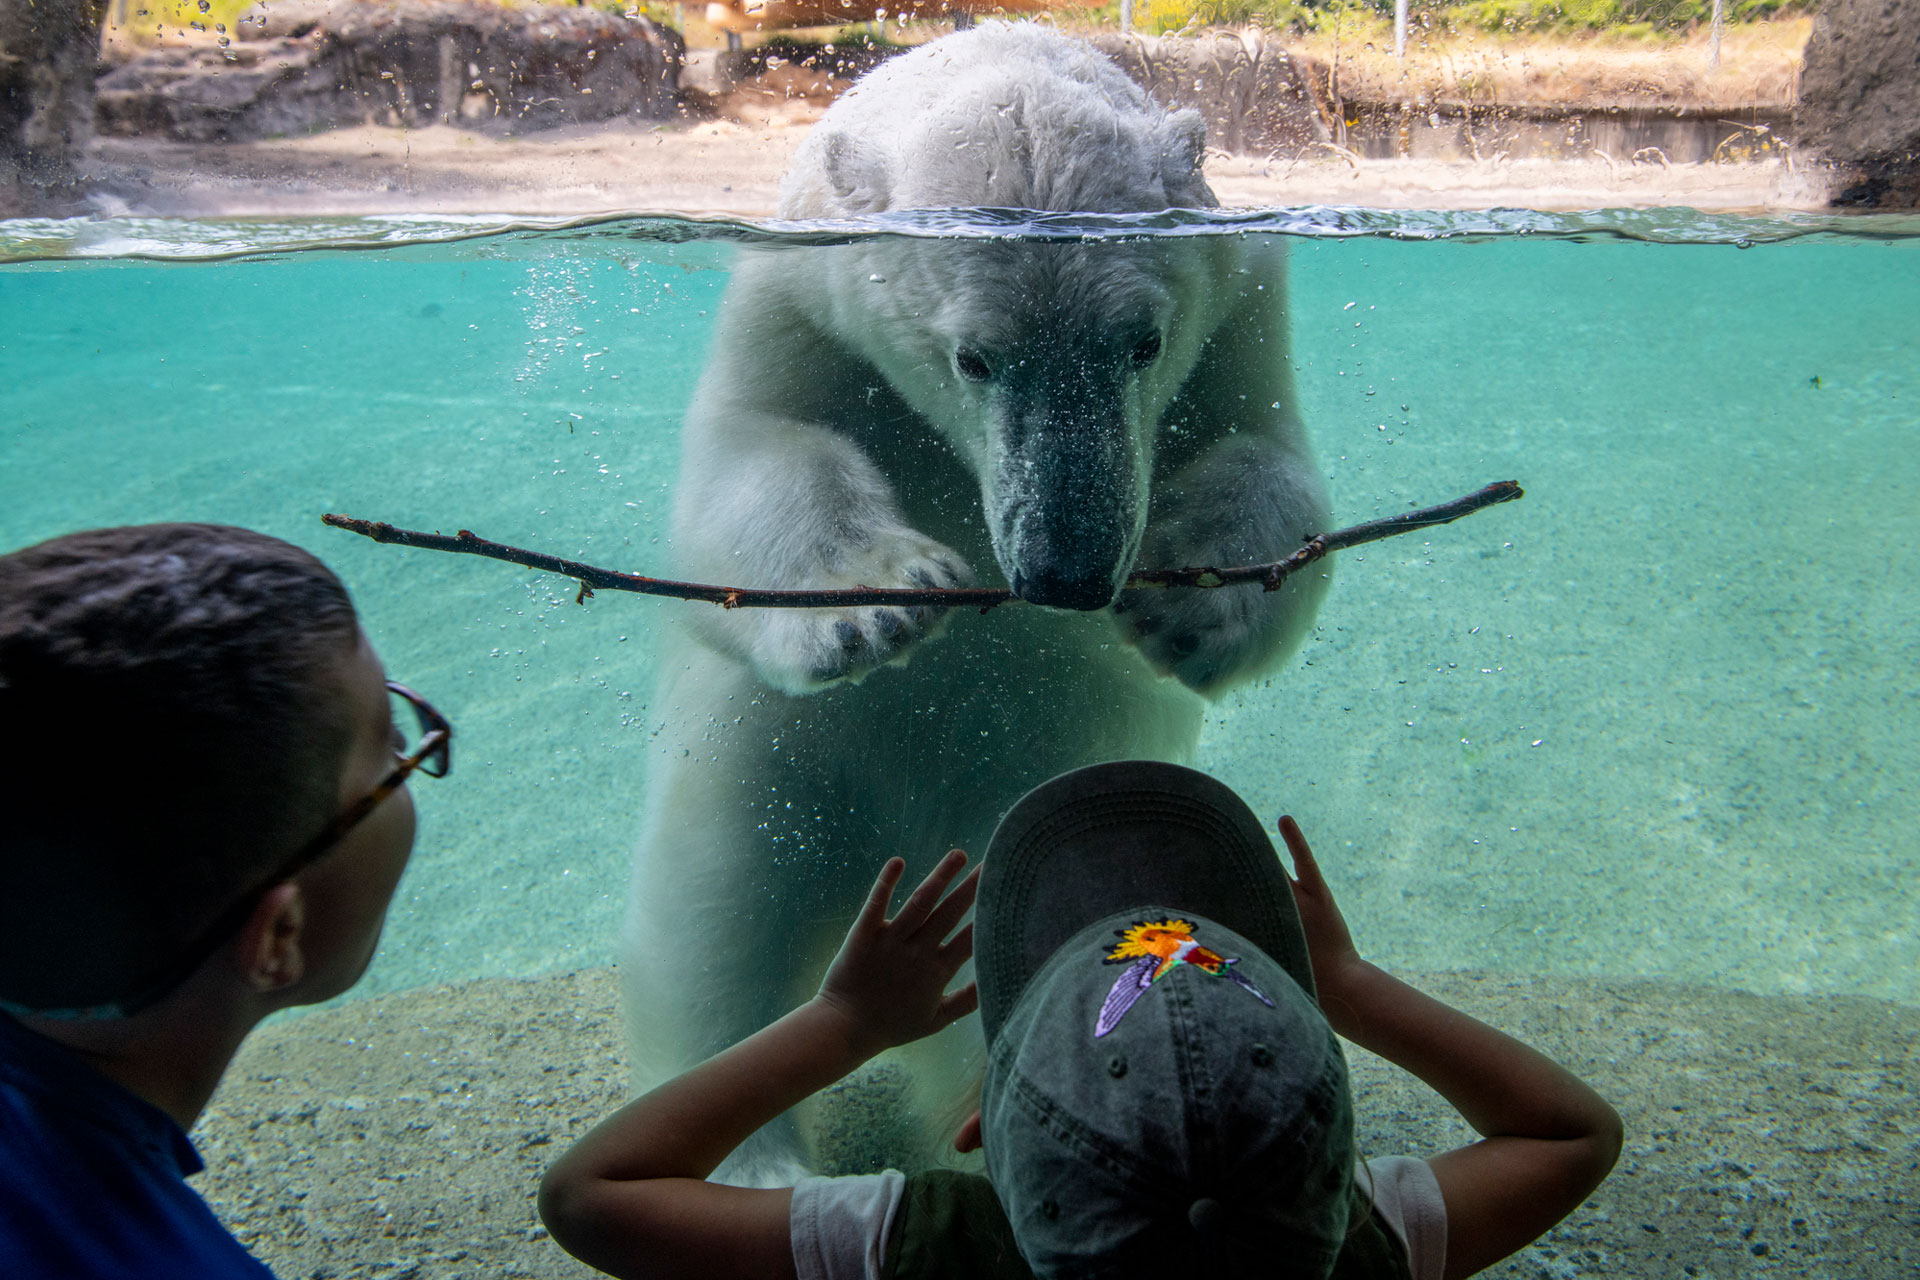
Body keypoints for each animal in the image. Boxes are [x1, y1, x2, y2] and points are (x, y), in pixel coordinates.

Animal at [624, 21, 1332, 1186]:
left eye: (1141, 341)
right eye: (975, 356)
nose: (1066, 570)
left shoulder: (1241, 303)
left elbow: (1267, 461)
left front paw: (1188, 610)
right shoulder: (796, 299)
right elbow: (752, 457)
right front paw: (875, 604)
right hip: (769, 766)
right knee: (719, 923)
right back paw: (760, 1160)